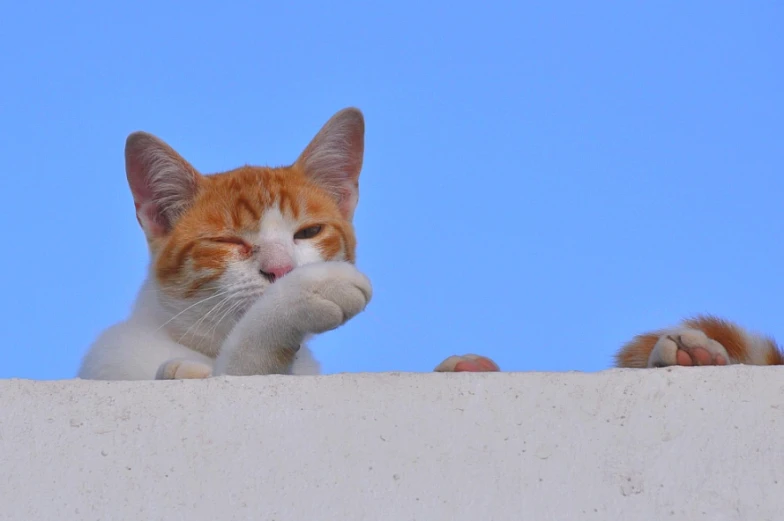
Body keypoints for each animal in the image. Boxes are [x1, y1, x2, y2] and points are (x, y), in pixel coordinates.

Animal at [81, 107, 484, 380]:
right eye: (227, 240)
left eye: (308, 232)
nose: (281, 269)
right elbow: (243, 361)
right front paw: (308, 292)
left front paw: (466, 365)